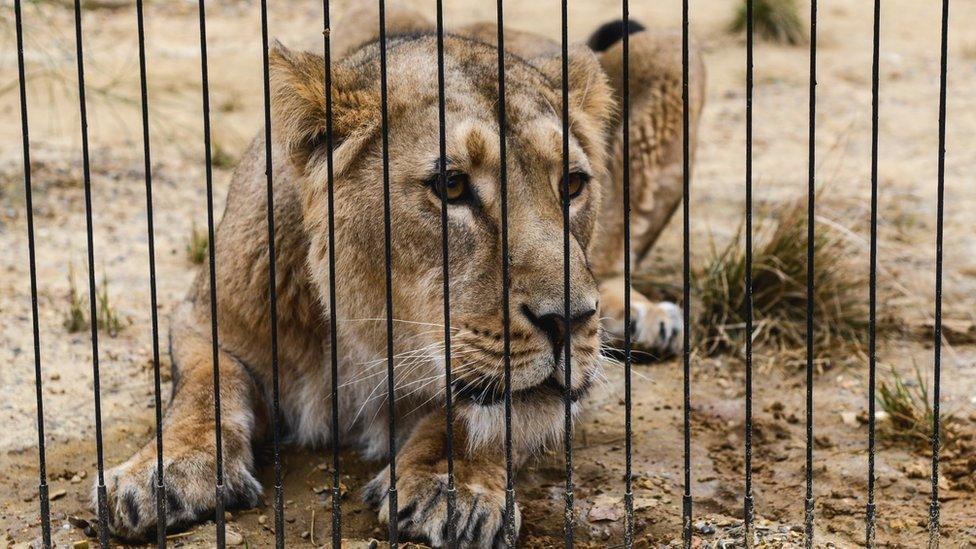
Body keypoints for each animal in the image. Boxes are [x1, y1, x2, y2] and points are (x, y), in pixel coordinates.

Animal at [96, 5, 704, 547]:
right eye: (452, 186)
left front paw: (451, 486)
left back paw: (641, 315)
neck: (367, 341)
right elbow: (206, 386)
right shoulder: (203, 318)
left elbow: (476, 416)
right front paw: (164, 471)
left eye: (573, 184)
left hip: (671, 50)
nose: (570, 321)